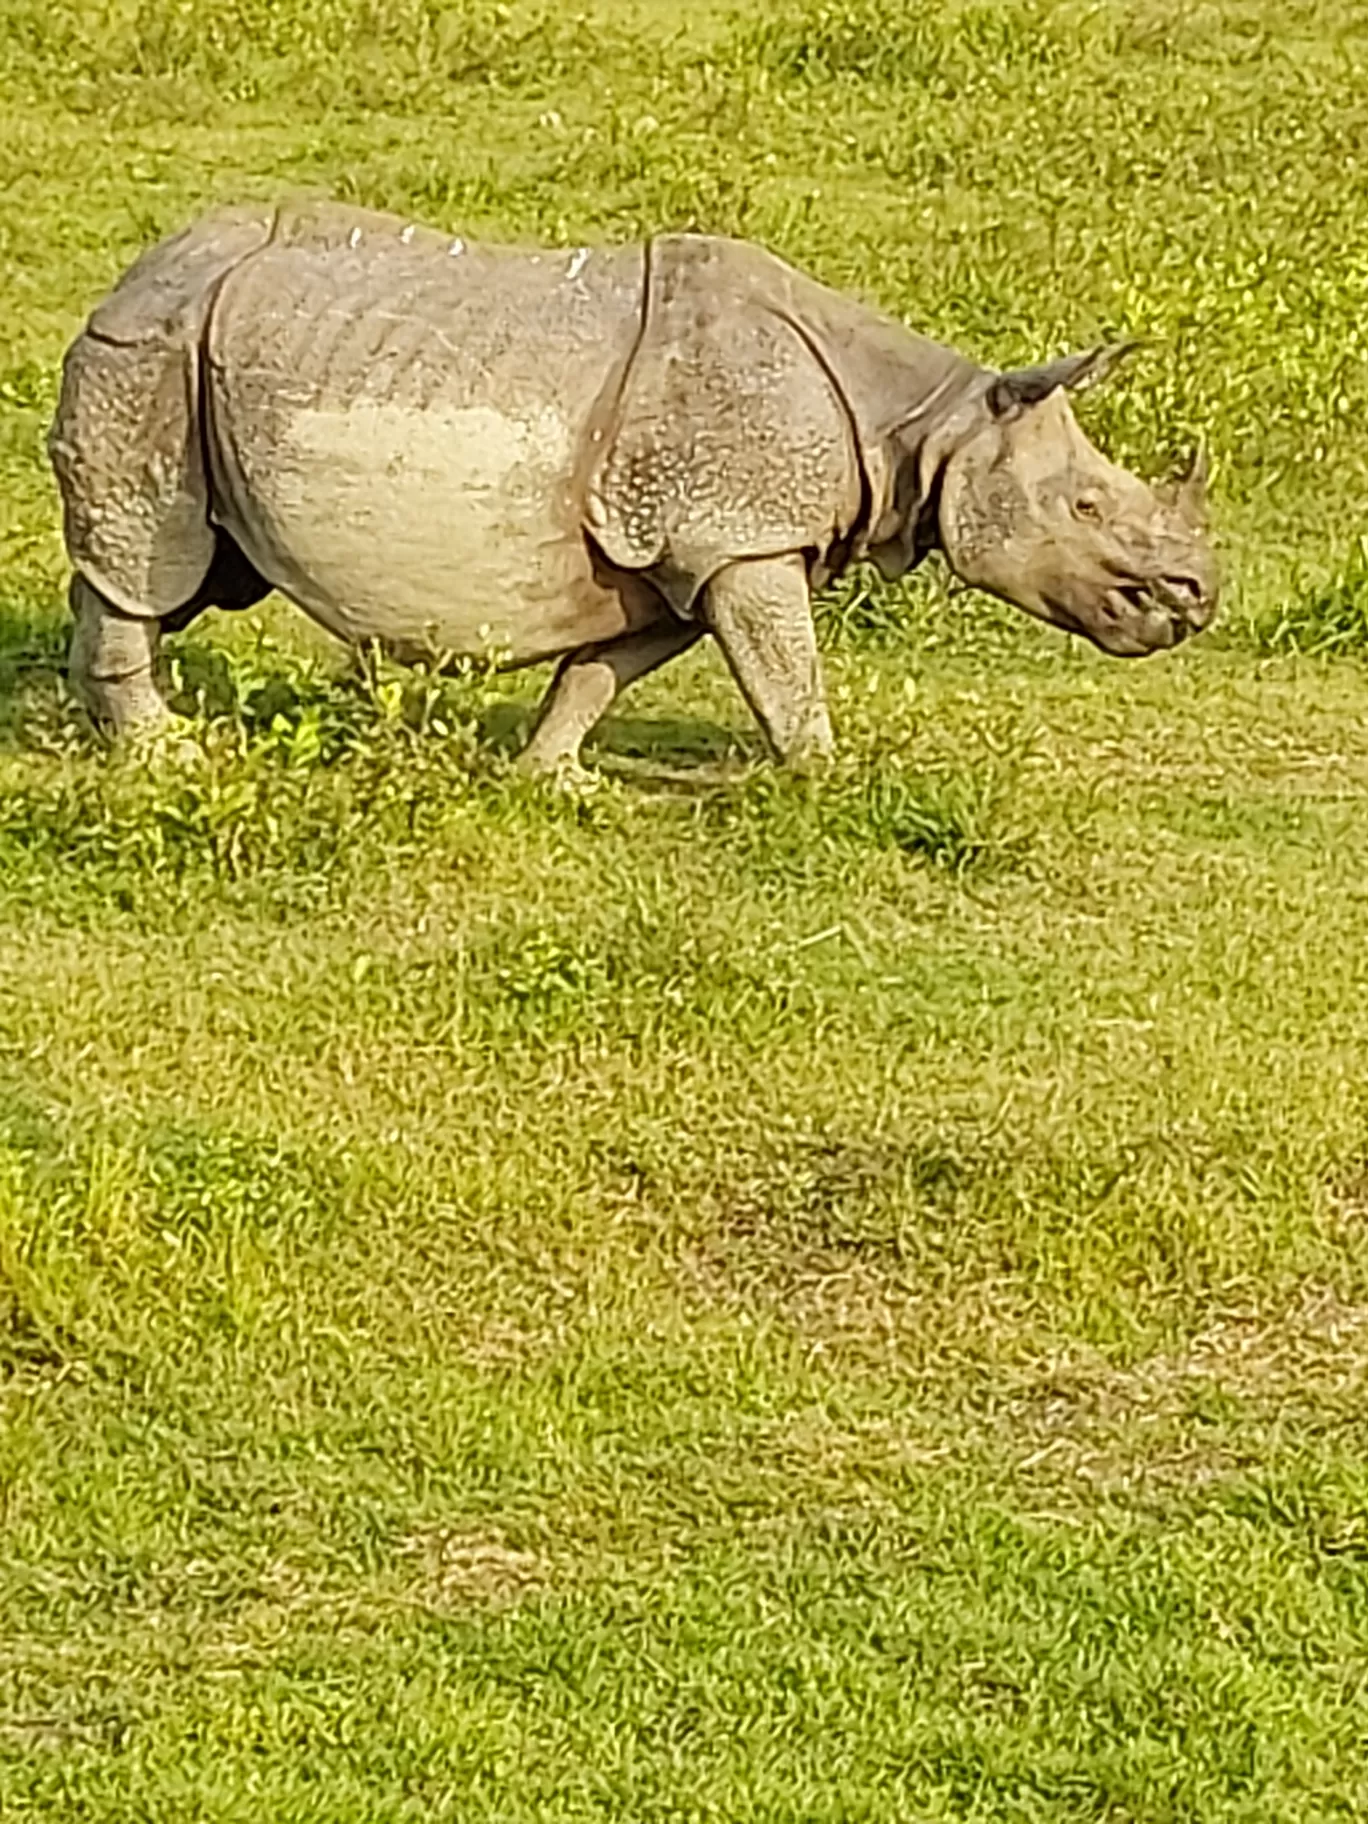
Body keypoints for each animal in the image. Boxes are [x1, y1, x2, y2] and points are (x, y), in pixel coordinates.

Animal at [48, 203, 1218, 773]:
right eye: (1087, 509)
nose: (1196, 599)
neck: (928, 423)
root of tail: (140, 266)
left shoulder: (679, 551)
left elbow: (606, 670)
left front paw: (550, 778)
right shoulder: (740, 531)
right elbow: (788, 674)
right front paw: (826, 780)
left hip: (197, 346)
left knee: (195, 571)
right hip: (151, 347)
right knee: (154, 562)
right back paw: (163, 758)